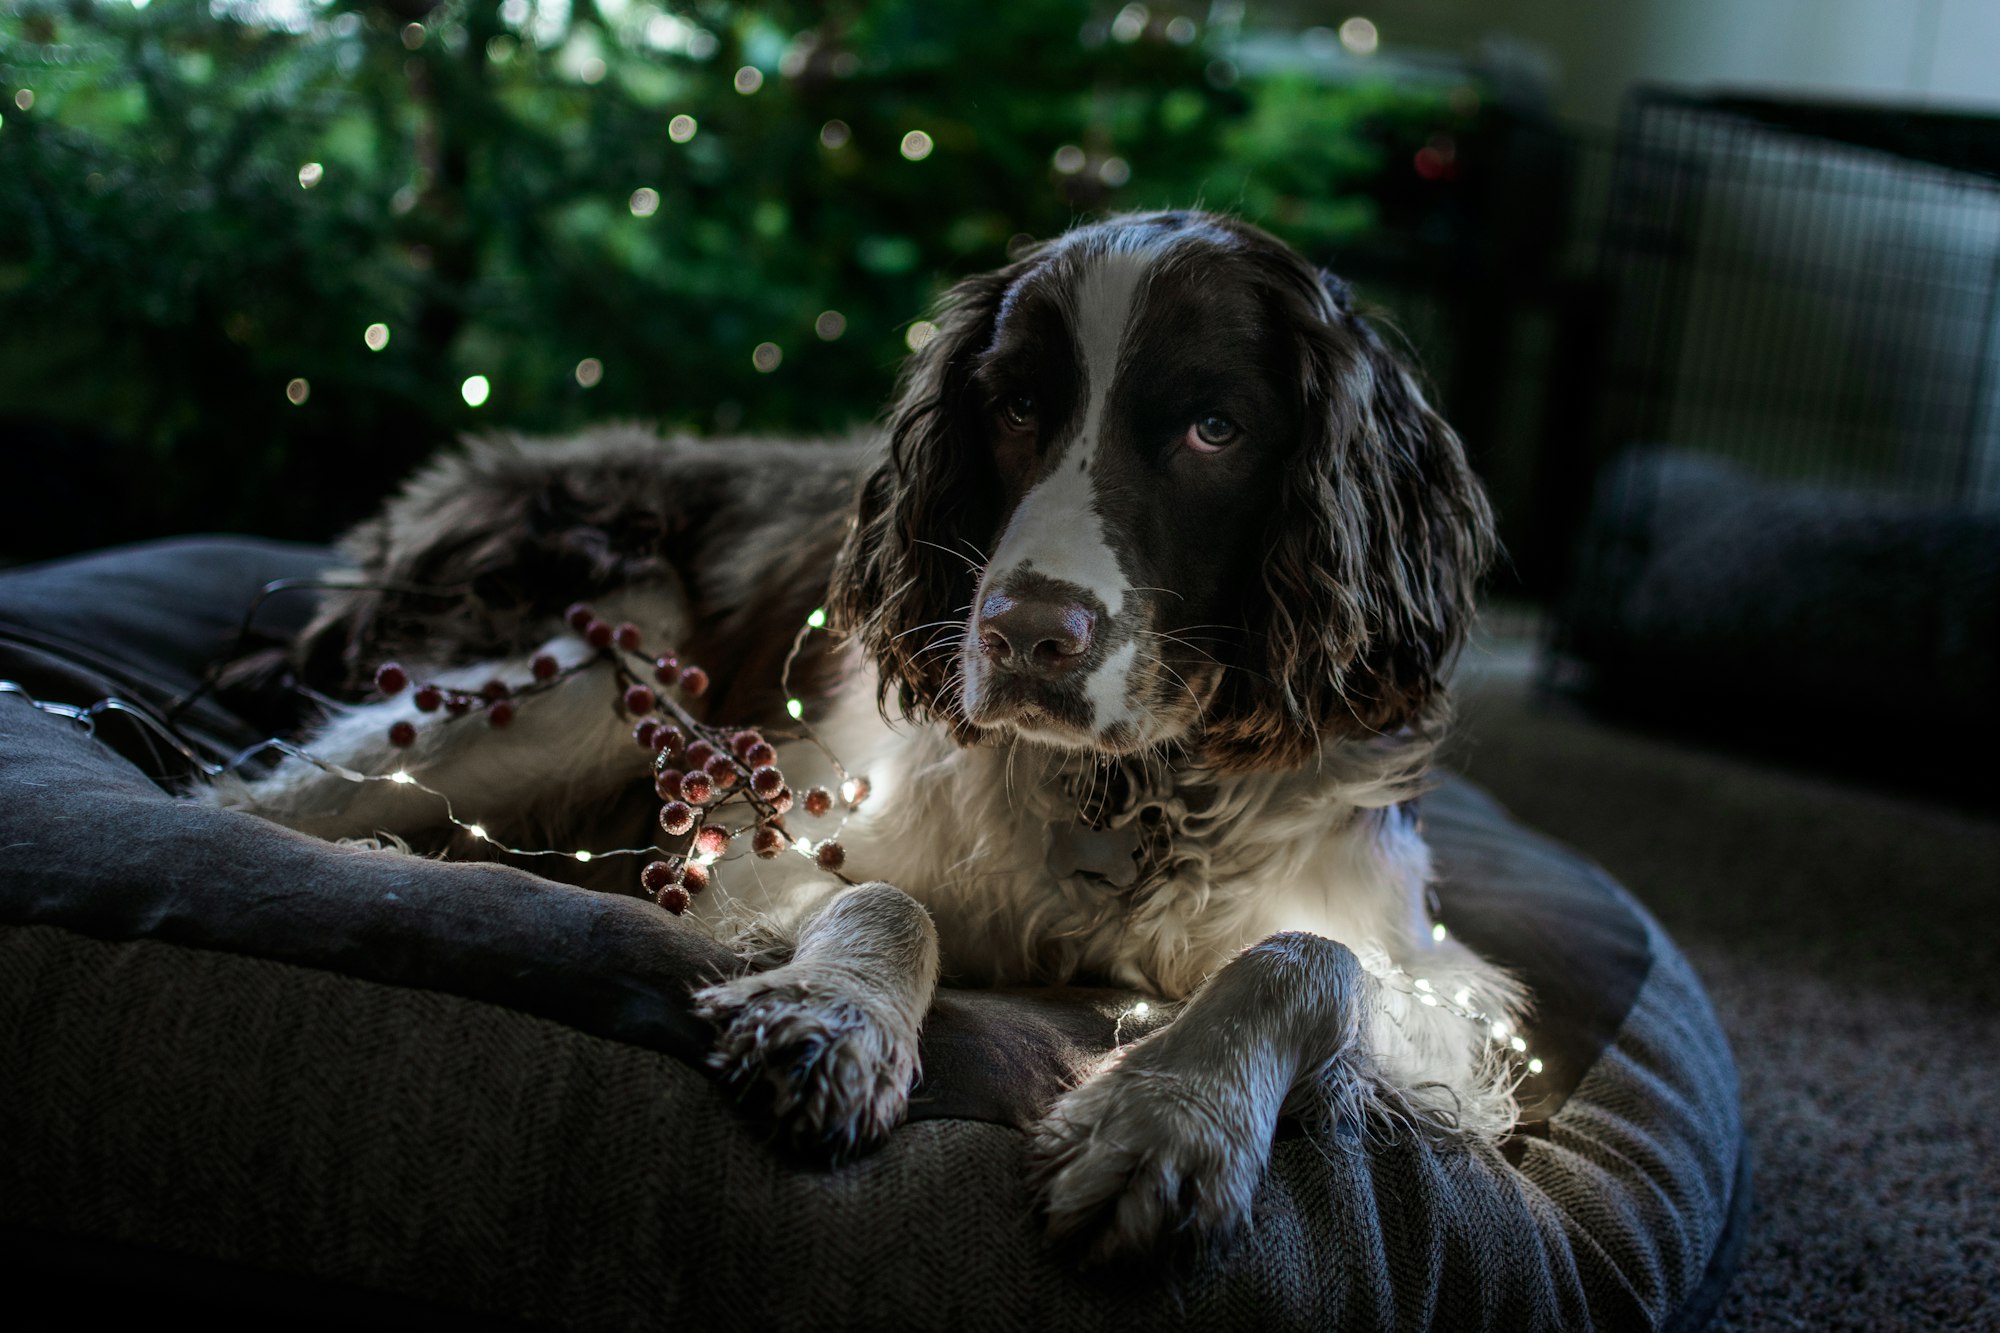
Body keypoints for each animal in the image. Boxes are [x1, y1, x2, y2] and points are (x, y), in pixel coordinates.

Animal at [219, 208, 1520, 1256]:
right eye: (1015, 405)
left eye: (1213, 427)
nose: (1025, 636)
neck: (1127, 787)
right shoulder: (788, 824)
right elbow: (887, 898)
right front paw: (834, 1020)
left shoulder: (1422, 969)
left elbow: (1306, 959)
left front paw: (1167, 1120)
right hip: (600, 662)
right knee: (242, 802)